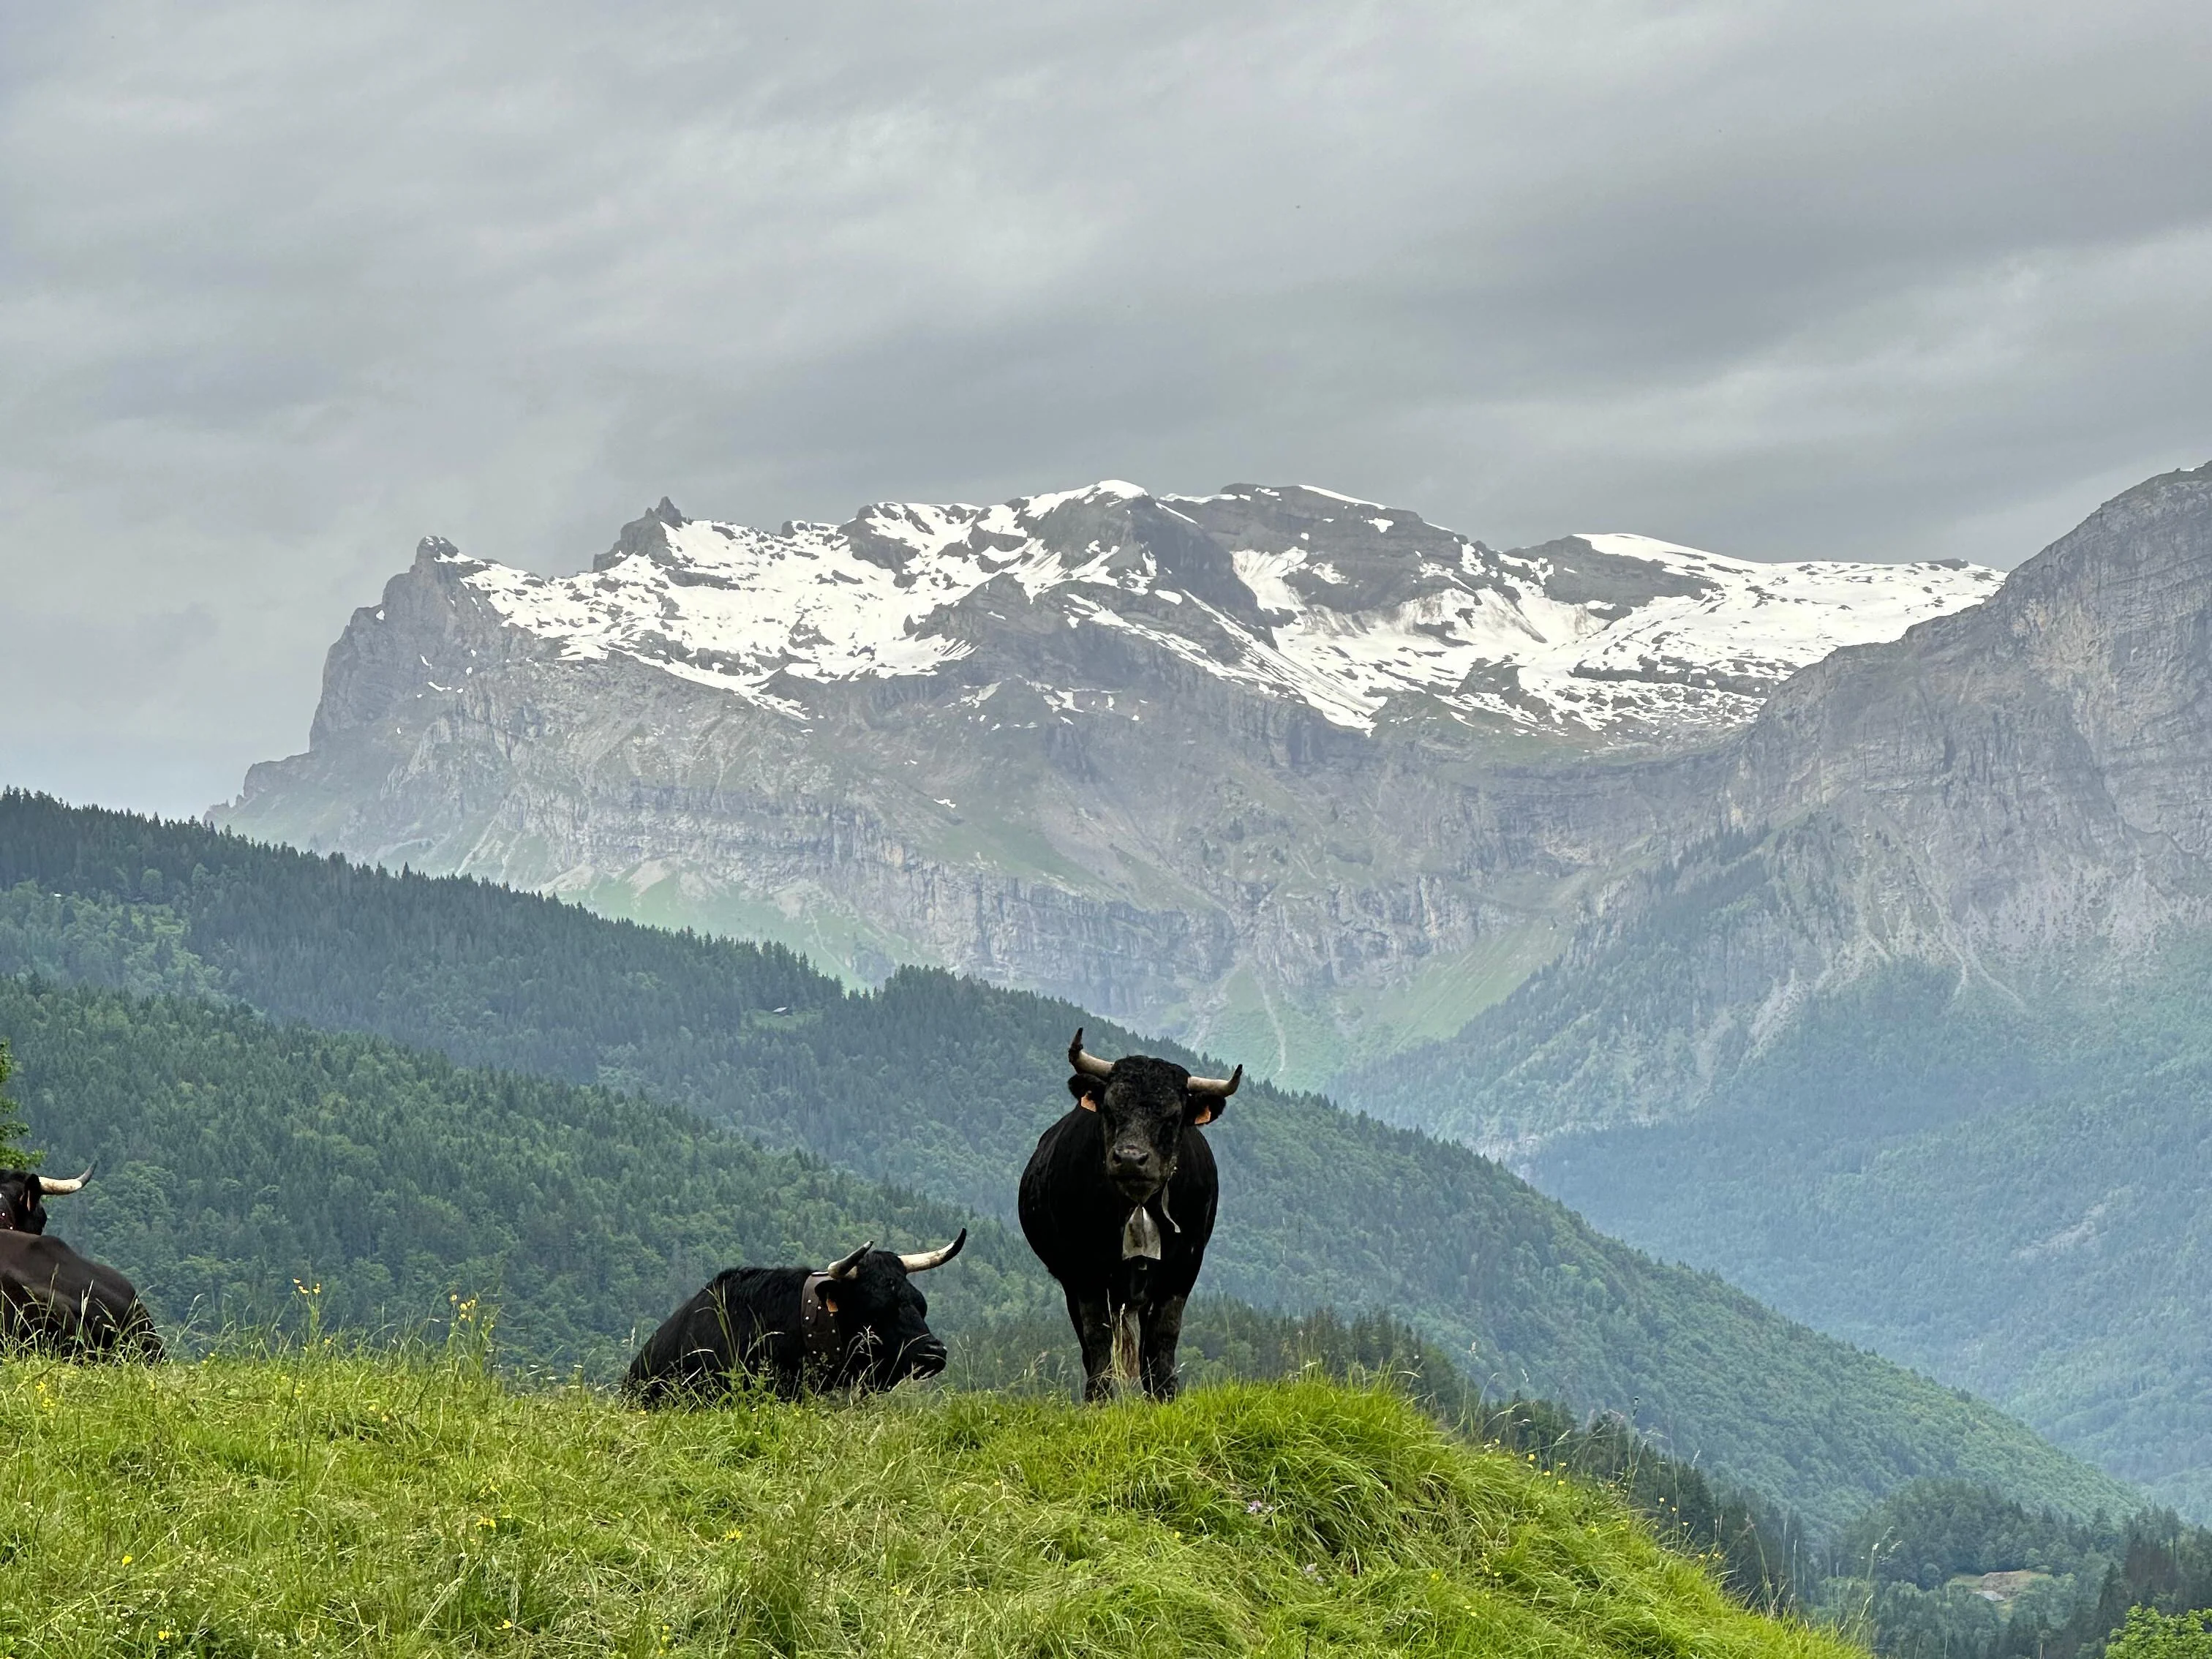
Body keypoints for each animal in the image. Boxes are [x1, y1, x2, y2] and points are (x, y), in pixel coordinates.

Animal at [1012, 1026, 1238, 1407]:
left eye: (1173, 1117)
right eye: (1110, 1108)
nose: (1131, 1158)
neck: (1139, 1206)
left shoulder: (1184, 1265)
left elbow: (1165, 1333)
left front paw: (1165, 1394)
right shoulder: (1084, 1270)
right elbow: (1097, 1333)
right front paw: (1099, 1397)